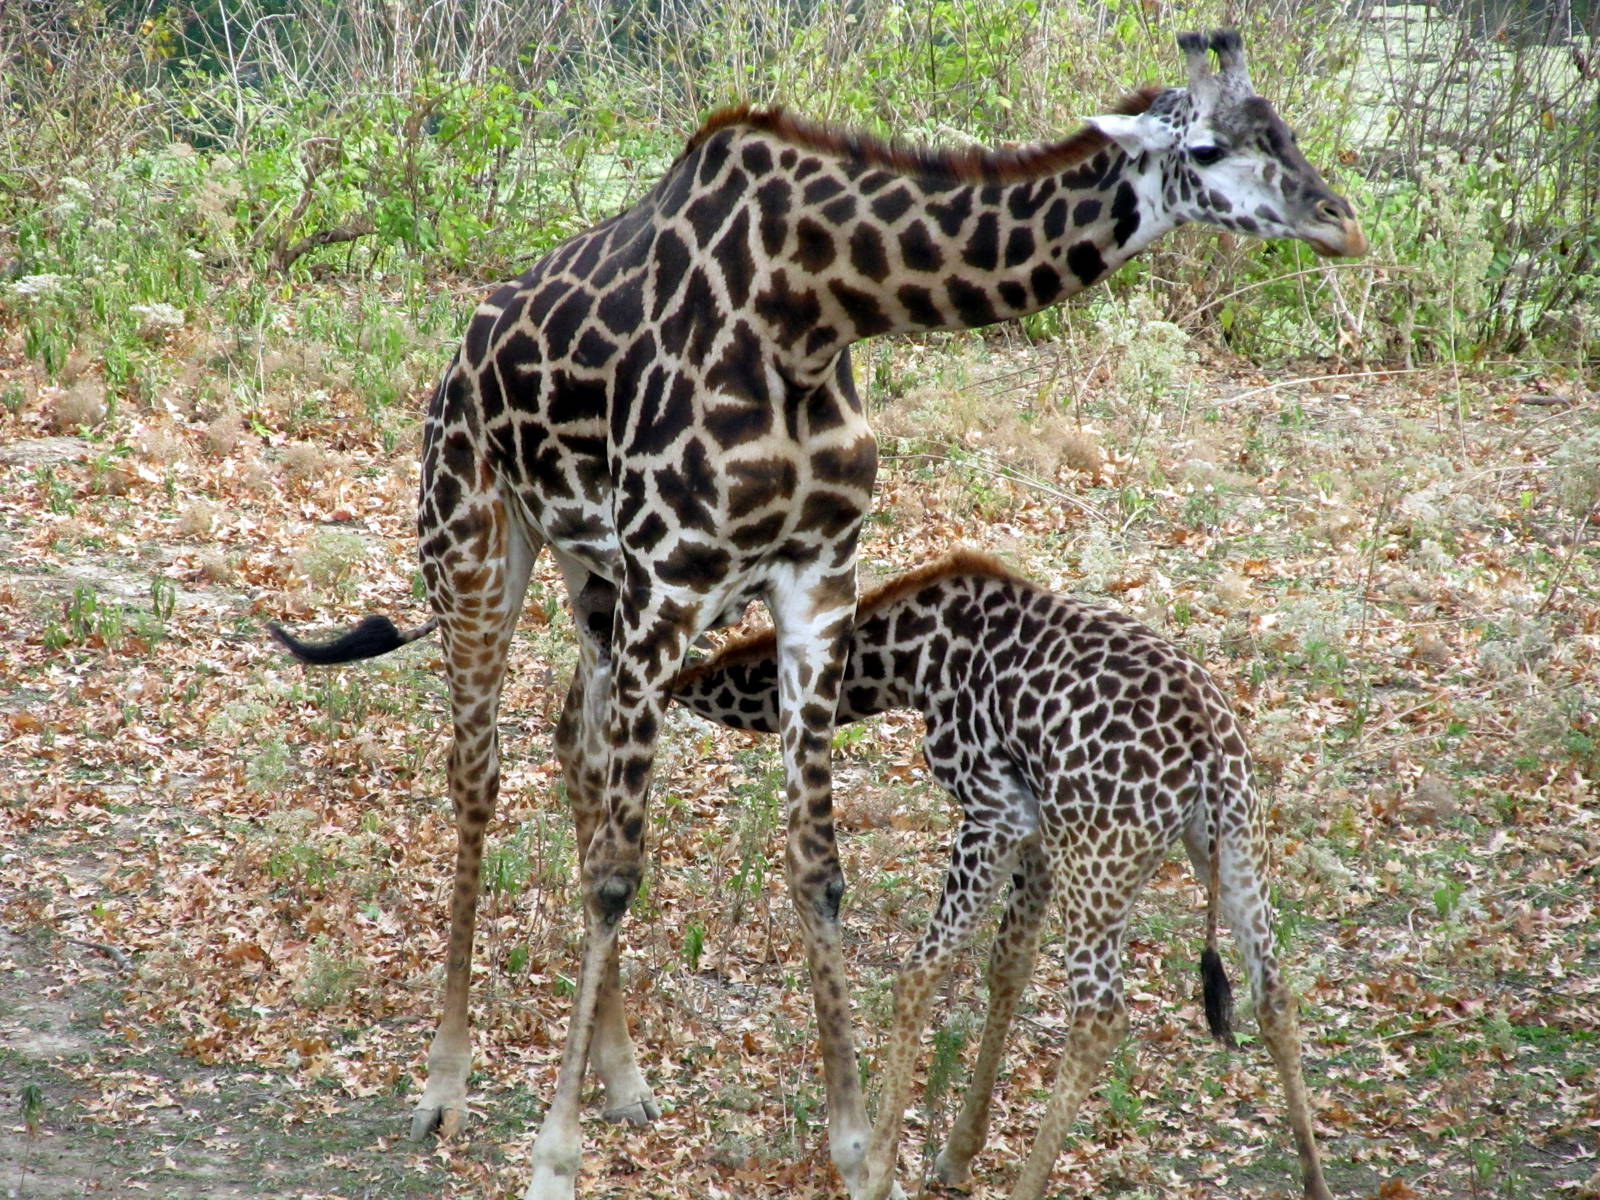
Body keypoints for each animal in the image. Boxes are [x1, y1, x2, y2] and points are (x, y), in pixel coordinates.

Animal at [673, 549, 1332, 1200]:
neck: (913, 658)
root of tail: (1209, 752)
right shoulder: (1036, 829)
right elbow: (1009, 965)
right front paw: (957, 1154)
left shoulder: (996, 809)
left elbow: (920, 971)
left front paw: (881, 1169)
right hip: (1233, 840)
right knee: (1273, 993)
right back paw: (1315, 1183)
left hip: (1101, 857)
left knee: (1101, 1015)